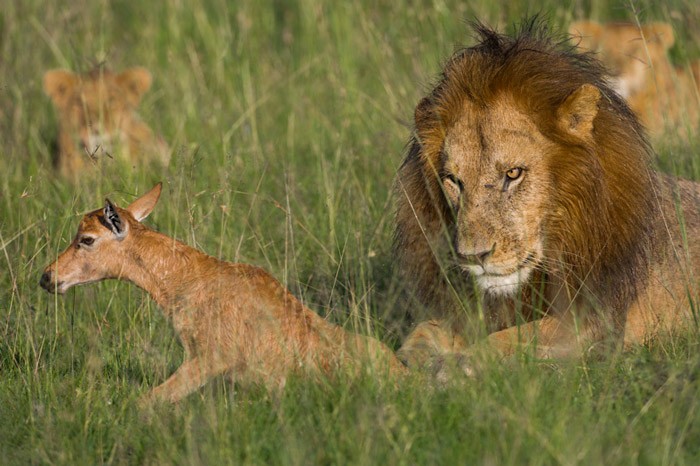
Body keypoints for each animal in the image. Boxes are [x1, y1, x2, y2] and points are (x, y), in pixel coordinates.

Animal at [394, 20, 700, 374]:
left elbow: (511, 338)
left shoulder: (596, 322)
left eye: (513, 173)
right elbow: (424, 330)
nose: (474, 257)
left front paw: (460, 364)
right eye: (454, 180)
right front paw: (412, 357)